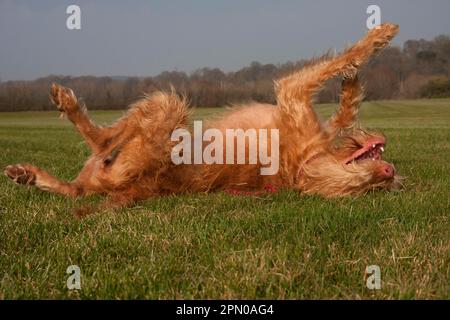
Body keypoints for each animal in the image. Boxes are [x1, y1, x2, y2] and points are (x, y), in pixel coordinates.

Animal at [5, 23, 402, 212]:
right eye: (378, 186)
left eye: (366, 189)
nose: (388, 171)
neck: (302, 166)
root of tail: (132, 186)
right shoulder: (307, 115)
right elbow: (344, 109)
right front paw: (352, 82)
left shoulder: (293, 94)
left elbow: (344, 58)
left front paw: (376, 39)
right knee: (81, 176)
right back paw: (28, 173)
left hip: (168, 107)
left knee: (100, 142)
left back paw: (65, 114)